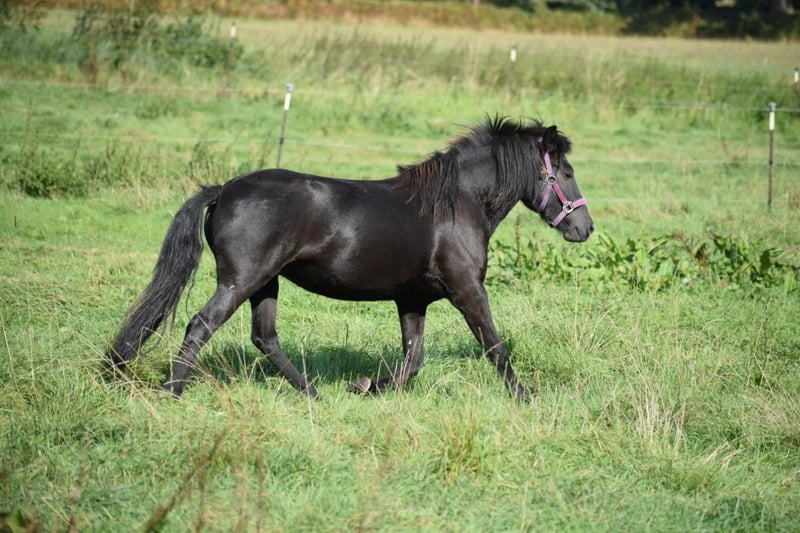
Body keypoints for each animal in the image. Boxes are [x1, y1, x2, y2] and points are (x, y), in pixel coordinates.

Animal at [107, 116, 593, 402]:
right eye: (567, 172)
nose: (584, 227)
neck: (457, 204)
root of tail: (223, 190)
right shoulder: (468, 291)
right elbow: (495, 347)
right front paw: (525, 398)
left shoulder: (412, 300)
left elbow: (412, 362)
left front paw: (365, 387)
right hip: (241, 280)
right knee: (201, 326)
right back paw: (173, 392)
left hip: (266, 283)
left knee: (265, 338)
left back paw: (315, 395)